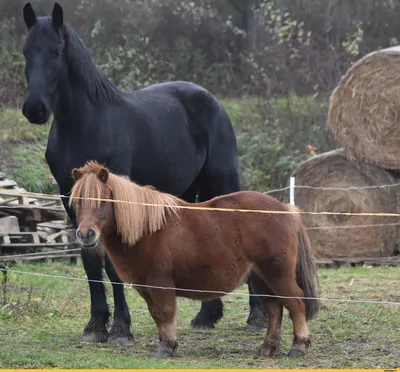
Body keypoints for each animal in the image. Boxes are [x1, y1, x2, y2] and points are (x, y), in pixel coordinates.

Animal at [20, 2, 268, 346]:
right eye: (26, 51)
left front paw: (121, 329)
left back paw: (256, 317)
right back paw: (206, 316)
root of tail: (210, 99)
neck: (85, 125)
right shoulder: (69, 196)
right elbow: (90, 262)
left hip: (223, 181)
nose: (35, 108)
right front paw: (96, 326)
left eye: (56, 51)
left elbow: (112, 265)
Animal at [70, 161, 320, 358]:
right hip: (260, 278)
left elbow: (164, 313)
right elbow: (156, 314)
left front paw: (166, 348)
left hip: (277, 274)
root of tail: (286, 209)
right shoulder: (145, 287)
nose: (86, 234)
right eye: (78, 202)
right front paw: (167, 344)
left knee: (296, 302)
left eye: (103, 200)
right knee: (274, 309)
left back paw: (298, 346)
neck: (148, 230)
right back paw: (268, 348)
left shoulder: (160, 283)